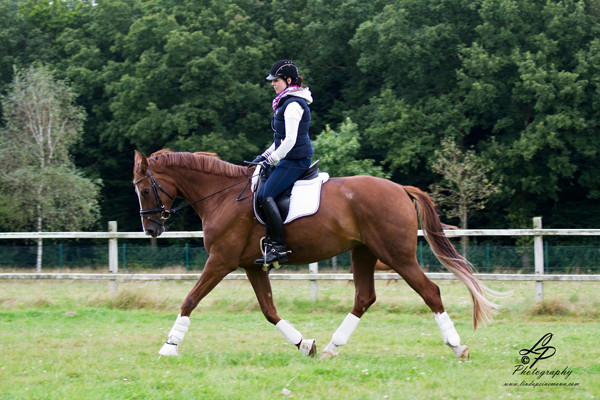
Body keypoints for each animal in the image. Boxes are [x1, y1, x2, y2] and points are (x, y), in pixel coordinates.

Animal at [134, 149, 494, 360]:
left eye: (145, 189)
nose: (151, 229)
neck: (222, 197)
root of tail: (400, 189)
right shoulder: (252, 266)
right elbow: (269, 310)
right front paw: (304, 343)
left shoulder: (221, 261)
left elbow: (190, 299)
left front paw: (169, 345)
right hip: (363, 253)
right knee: (364, 297)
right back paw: (332, 348)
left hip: (397, 256)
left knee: (430, 291)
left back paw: (457, 345)